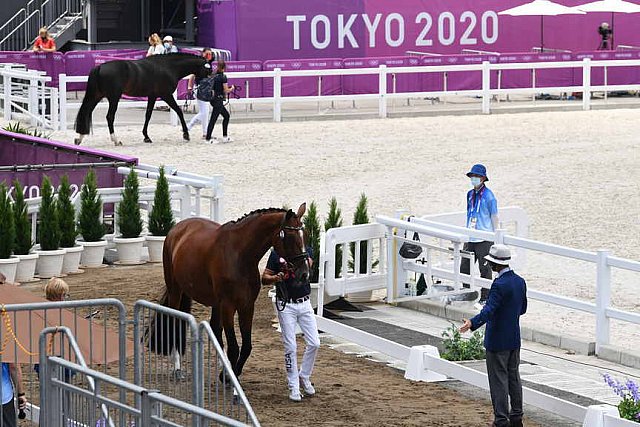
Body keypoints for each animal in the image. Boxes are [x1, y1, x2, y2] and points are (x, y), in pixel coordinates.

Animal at [74, 53, 210, 147]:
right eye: (208, 70)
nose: (206, 87)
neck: (168, 67)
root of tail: (100, 67)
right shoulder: (166, 95)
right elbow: (179, 111)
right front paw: (186, 134)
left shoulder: (152, 96)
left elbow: (148, 115)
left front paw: (146, 137)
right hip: (113, 98)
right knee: (109, 117)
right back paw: (116, 140)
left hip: (97, 96)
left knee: (86, 111)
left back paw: (79, 138)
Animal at [150, 204, 310, 382]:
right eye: (290, 237)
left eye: (305, 235)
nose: (304, 273)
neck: (240, 255)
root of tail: (177, 229)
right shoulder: (228, 306)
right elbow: (234, 347)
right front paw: (228, 377)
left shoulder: (247, 306)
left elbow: (246, 346)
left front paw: (231, 372)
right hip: (176, 290)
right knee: (174, 321)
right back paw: (178, 368)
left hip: (213, 302)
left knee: (215, 329)